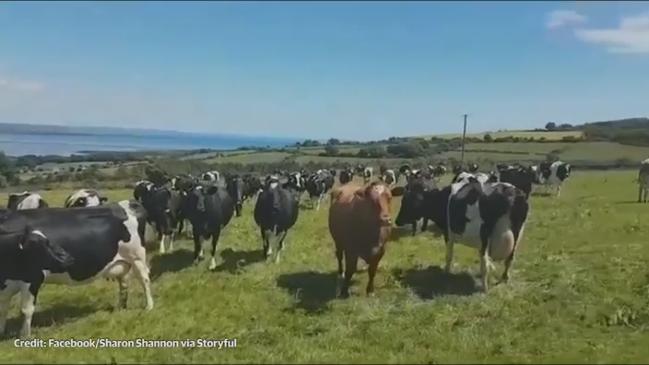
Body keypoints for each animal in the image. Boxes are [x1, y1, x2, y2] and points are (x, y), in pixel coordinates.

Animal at [0, 200, 153, 336]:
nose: (67, 258)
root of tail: (130, 203)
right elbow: (3, 309)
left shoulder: (33, 277)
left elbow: (26, 310)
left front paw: (25, 335)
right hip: (124, 263)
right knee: (124, 283)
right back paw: (121, 308)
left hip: (137, 257)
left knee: (144, 280)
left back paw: (149, 306)